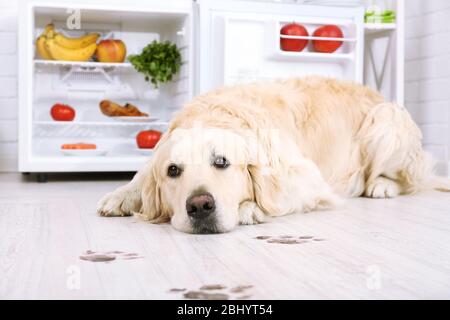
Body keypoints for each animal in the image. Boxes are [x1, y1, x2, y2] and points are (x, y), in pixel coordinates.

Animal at [96, 76, 446, 234]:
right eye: (173, 171)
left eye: (221, 162)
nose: (199, 206)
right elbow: (142, 174)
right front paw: (121, 195)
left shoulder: (307, 178)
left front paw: (250, 207)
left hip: (386, 121)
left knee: (409, 180)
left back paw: (381, 185)